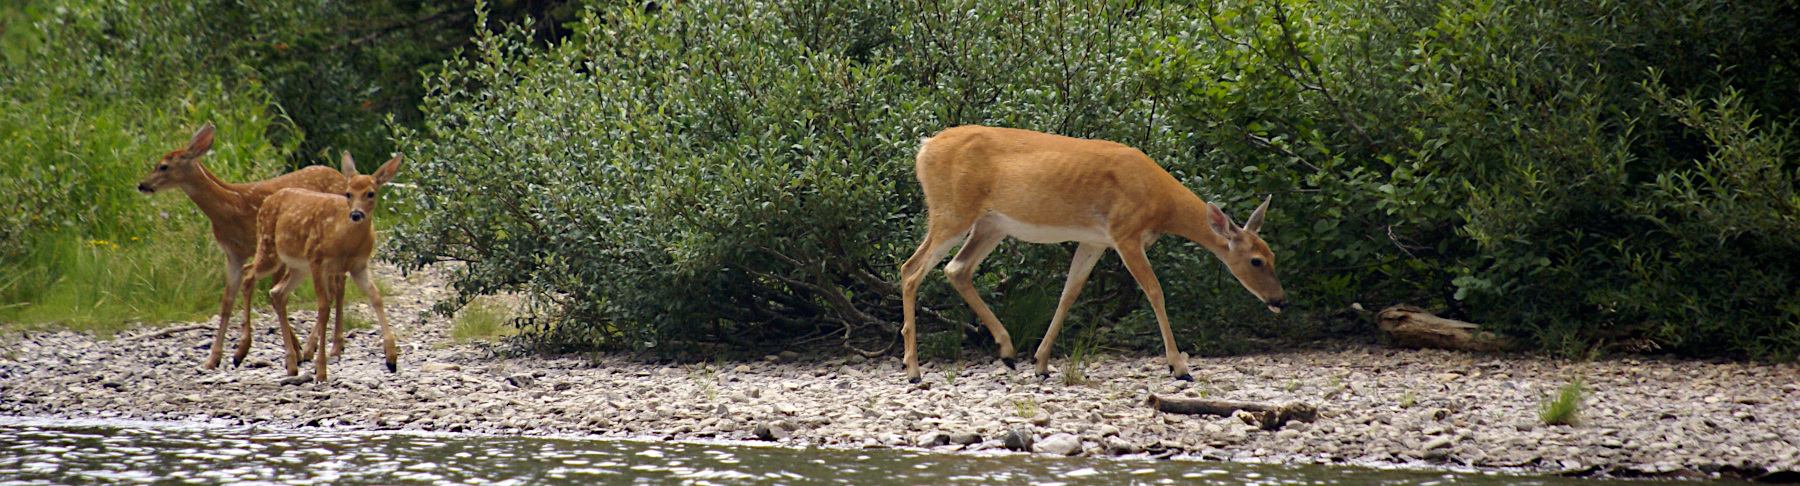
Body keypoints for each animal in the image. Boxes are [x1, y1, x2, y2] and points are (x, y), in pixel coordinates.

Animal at [135, 121, 349, 369]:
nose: (142, 185)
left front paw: (243, 349)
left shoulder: (265, 248)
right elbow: (228, 301)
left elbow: (265, 291)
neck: (233, 207)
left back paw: (328, 347)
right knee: (335, 284)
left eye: (163, 166)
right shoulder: (233, 254)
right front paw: (213, 358)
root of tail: (342, 177)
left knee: (337, 285)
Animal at [237, 153, 403, 383]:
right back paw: (240, 352)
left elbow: (376, 296)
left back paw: (291, 364)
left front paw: (391, 357)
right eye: (348, 193)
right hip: (270, 248)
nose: (356, 214)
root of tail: (267, 201)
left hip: (298, 267)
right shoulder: (318, 260)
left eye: (371, 193)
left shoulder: (359, 266)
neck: (345, 240)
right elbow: (323, 307)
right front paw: (321, 369)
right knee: (248, 273)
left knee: (276, 292)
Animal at [896, 126, 1288, 383]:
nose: (1280, 300)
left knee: (956, 269)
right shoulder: (1125, 233)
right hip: (952, 210)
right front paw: (1179, 367)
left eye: (1273, 257)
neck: (1160, 202)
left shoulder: (1095, 241)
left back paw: (1007, 352)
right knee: (911, 268)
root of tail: (924, 148)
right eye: (1256, 261)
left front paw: (1041, 363)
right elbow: (1155, 292)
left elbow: (1070, 293)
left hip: (991, 224)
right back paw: (913, 370)